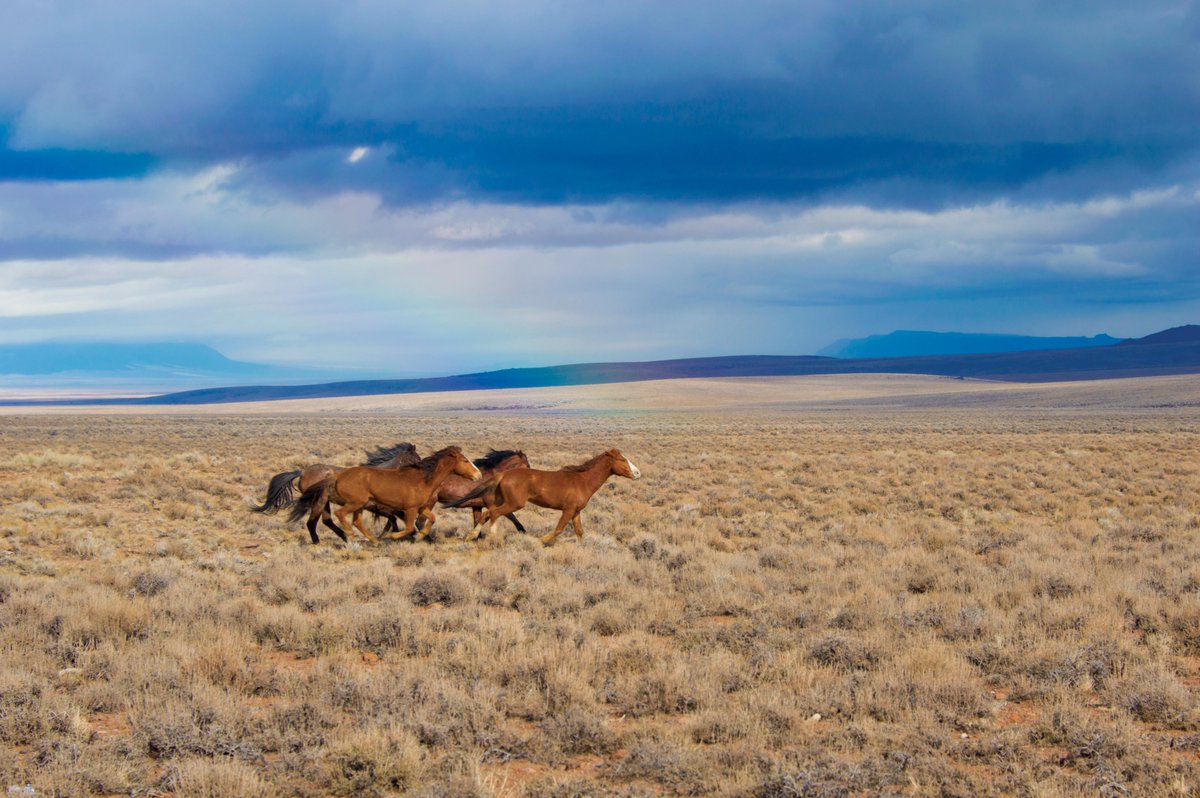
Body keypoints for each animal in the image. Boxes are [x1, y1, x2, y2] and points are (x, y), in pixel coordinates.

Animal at [292, 444, 480, 544]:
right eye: (465, 460)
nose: (478, 475)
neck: (424, 479)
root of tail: (337, 476)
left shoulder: (420, 508)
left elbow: (431, 519)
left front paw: (421, 536)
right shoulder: (409, 509)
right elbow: (409, 527)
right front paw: (394, 536)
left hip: (358, 505)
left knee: (355, 521)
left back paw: (373, 540)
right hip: (353, 503)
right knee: (339, 515)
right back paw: (350, 535)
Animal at [451, 444, 638, 544]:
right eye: (622, 459)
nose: (638, 473)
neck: (582, 480)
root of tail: (503, 474)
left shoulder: (576, 511)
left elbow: (579, 532)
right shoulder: (568, 510)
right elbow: (558, 529)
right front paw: (539, 541)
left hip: (500, 501)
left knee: (488, 514)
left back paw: (472, 536)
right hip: (515, 503)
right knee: (495, 514)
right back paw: (492, 536)